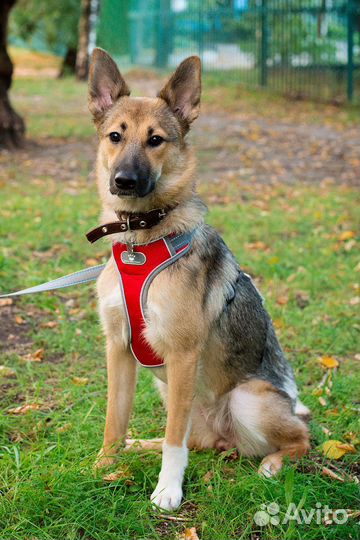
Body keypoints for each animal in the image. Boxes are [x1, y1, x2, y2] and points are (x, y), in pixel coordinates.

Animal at [87, 47, 310, 510]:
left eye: (156, 140)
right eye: (115, 136)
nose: (123, 181)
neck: (143, 241)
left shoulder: (183, 353)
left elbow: (176, 440)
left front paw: (167, 490)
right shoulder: (118, 349)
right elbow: (115, 419)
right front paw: (105, 464)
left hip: (245, 400)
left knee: (301, 438)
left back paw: (272, 465)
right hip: (176, 394)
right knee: (197, 440)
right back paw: (142, 444)